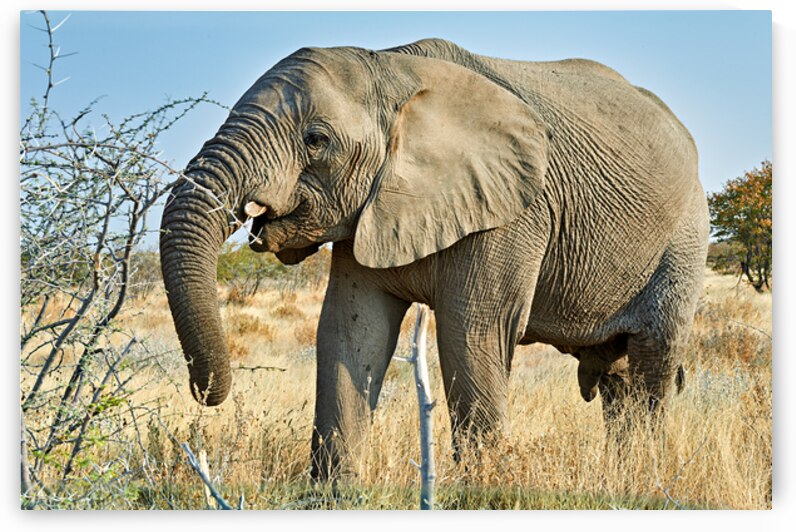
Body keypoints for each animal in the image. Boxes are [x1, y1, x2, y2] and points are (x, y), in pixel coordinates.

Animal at [159, 38, 709, 480]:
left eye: (316, 140)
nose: (206, 394)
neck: (391, 67)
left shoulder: (513, 211)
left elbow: (474, 334)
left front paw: (482, 492)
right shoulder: (369, 210)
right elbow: (349, 331)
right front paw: (333, 495)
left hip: (685, 237)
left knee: (652, 364)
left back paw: (645, 479)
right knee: (619, 378)